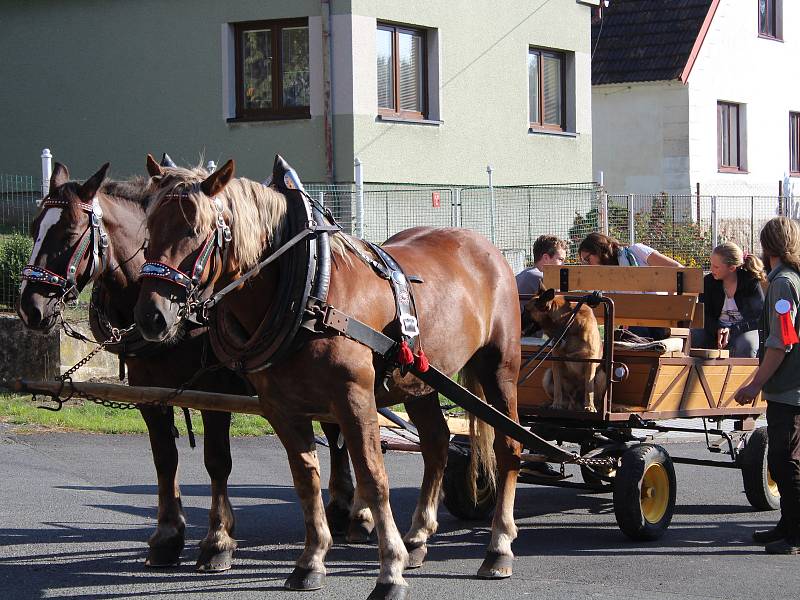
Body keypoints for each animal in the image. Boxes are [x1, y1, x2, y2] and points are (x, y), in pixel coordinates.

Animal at [15, 159, 362, 572]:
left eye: (69, 232)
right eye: (34, 228)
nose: (30, 308)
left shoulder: (215, 391)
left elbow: (217, 460)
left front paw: (218, 540)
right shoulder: (150, 393)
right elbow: (165, 458)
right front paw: (167, 536)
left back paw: (352, 512)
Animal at [136, 157, 524, 596]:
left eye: (195, 230)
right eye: (149, 228)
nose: (151, 316)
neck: (310, 290)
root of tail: (485, 247)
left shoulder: (354, 399)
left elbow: (373, 477)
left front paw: (390, 570)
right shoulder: (281, 408)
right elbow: (306, 479)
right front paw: (311, 560)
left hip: (500, 368)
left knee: (509, 447)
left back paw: (498, 546)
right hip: (421, 380)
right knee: (437, 445)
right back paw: (419, 536)